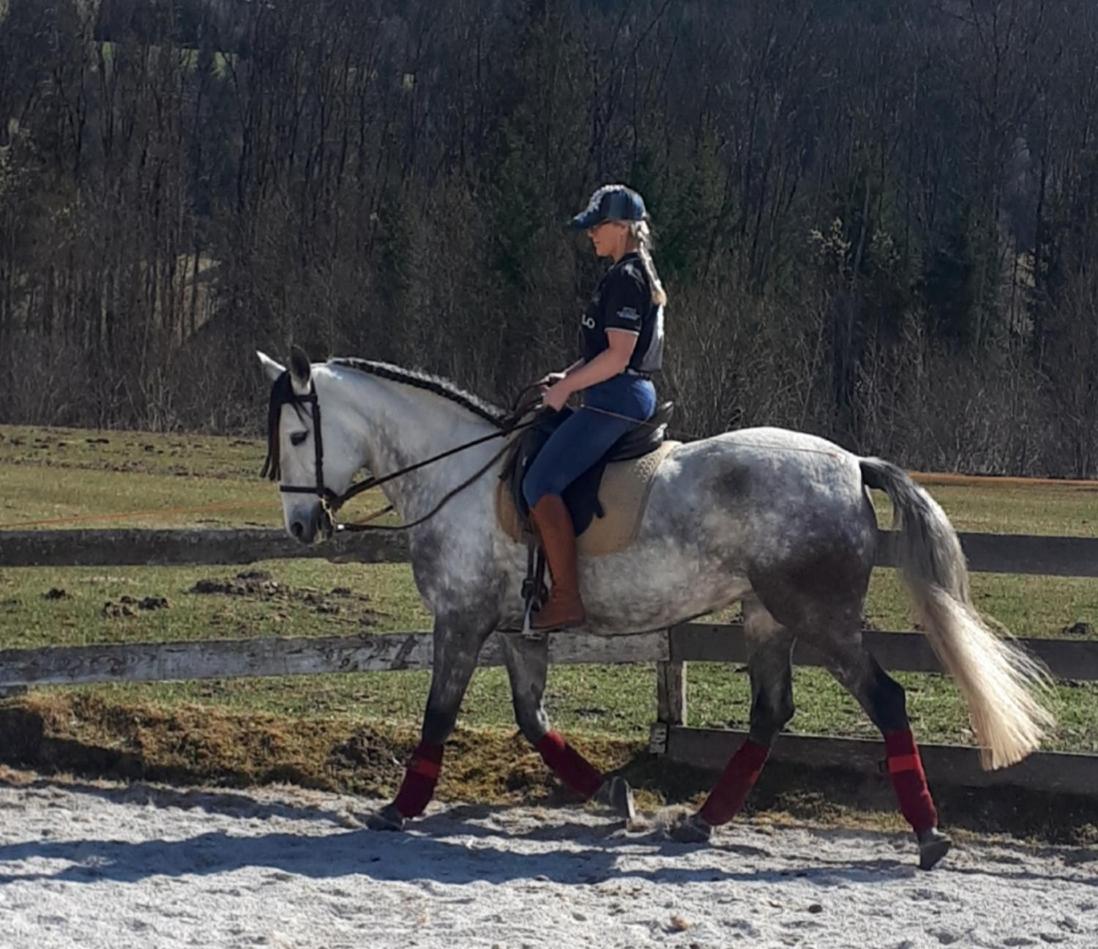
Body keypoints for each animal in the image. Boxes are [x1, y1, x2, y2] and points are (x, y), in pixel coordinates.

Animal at [256, 347, 1053, 871]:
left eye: (297, 435)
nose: (300, 526)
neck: (459, 473)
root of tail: (851, 463)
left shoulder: (461, 619)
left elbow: (438, 716)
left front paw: (398, 807)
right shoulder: (519, 630)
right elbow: (532, 719)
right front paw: (614, 794)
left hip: (820, 617)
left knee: (884, 699)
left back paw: (928, 836)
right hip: (766, 617)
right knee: (771, 711)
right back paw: (700, 822)